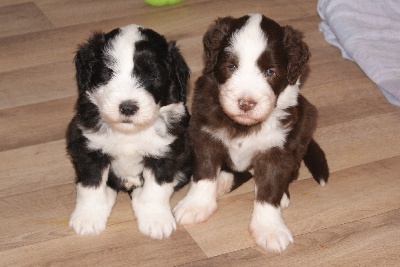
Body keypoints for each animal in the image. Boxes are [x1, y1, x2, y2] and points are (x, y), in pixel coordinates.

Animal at [67, 24, 192, 240]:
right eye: (108, 73)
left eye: (152, 76)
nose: (127, 108)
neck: (129, 133)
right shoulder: (89, 146)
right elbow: (91, 185)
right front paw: (88, 218)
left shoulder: (166, 151)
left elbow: (157, 188)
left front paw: (156, 219)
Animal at [173, 14, 330, 253]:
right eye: (231, 67)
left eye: (270, 72)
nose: (246, 103)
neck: (243, 125)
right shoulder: (205, 133)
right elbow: (205, 172)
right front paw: (196, 206)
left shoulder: (276, 149)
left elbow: (270, 187)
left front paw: (269, 228)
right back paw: (223, 182)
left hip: (305, 124)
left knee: (290, 172)